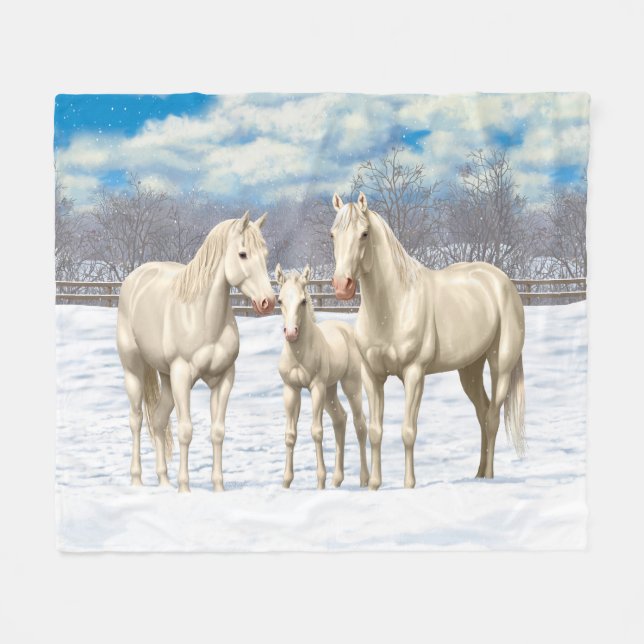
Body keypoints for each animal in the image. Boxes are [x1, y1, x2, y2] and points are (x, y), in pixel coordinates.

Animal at [116, 211, 275, 493]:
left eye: (265, 254)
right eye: (243, 254)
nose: (268, 302)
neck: (202, 316)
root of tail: (136, 277)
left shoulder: (224, 379)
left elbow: (218, 432)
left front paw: (218, 487)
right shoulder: (182, 376)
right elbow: (186, 431)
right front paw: (185, 489)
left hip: (166, 378)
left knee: (158, 420)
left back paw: (163, 481)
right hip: (134, 371)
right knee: (136, 420)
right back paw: (137, 480)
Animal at [275, 264, 369, 489]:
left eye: (303, 301)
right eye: (279, 300)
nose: (291, 333)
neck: (299, 354)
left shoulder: (316, 387)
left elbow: (317, 431)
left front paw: (320, 482)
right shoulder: (291, 389)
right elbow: (290, 435)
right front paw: (286, 482)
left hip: (350, 385)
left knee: (360, 424)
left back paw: (364, 479)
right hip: (330, 390)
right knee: (340, 419)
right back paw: (337, 480)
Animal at [329, 192, 526, 490]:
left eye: (364, 234)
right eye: (332, 235)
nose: (343, 286)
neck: (393, 305)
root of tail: (502, 281)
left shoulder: (414, 374)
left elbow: (408, 430)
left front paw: (409, 484)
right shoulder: (372, 375)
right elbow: (375, 430)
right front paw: (374, 484)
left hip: (500, 366)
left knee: (492, 417)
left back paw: (490, 476)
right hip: (470, 369)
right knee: (482, 412)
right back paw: (478, 473)